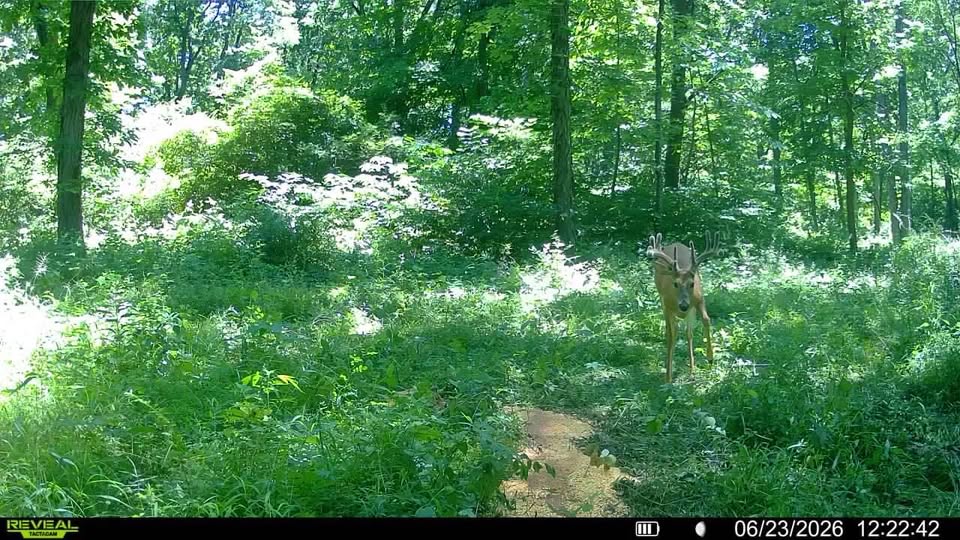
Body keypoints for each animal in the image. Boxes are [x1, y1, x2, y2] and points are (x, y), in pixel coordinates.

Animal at [644, 232, 722, 383]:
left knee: (688, 332)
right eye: (675, 284)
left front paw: (710, 358)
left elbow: (706, 320)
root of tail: (676, 243)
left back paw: (692, 371)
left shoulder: (699, 299)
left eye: (692, 283)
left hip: (691, 310)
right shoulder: (667, 305)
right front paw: (668, 376)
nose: (684, 305)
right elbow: (672, 334)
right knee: (671, 330)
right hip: (662, 300)